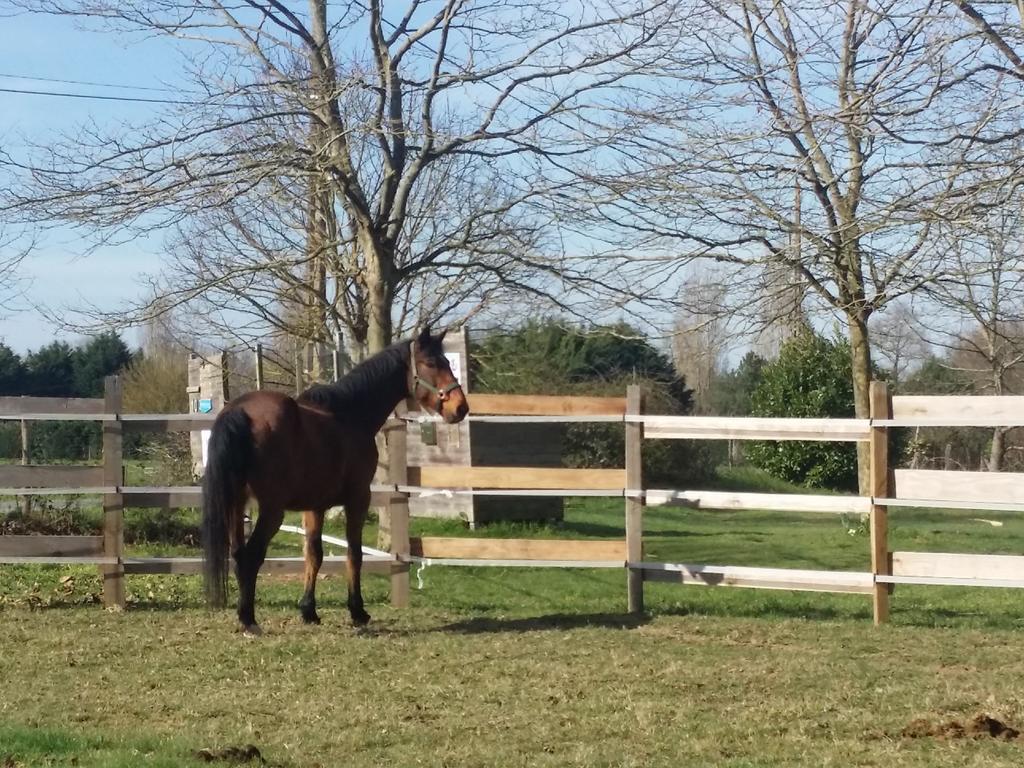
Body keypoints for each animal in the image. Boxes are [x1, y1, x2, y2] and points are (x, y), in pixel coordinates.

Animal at [200, 327, 471, 634]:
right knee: (251, 555)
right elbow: (354, 554)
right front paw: (357, 610)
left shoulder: (314, 506)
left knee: (236, 553)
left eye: (447, 362)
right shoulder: (358, 498)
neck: (349, 415)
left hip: (236, 502)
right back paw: (248, 619)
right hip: (271, 510)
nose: (461, 408)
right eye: (432, 363)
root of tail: (241, 411)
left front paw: (309, 610)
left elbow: (313, 555)